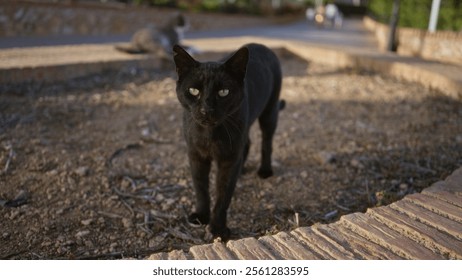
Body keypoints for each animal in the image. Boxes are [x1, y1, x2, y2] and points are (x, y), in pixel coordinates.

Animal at [172, 42, 284, 240]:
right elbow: (200, 187)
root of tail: (262, 45)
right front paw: (201, 216)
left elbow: (223, 194)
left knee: (266, 142)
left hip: (269, 113)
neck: (209, 134)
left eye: (223, 92)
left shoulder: (229, 159)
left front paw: (217, 228)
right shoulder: (196, 155)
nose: (206, 110)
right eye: (194, 91)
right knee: (248, 143)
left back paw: (264, 170)